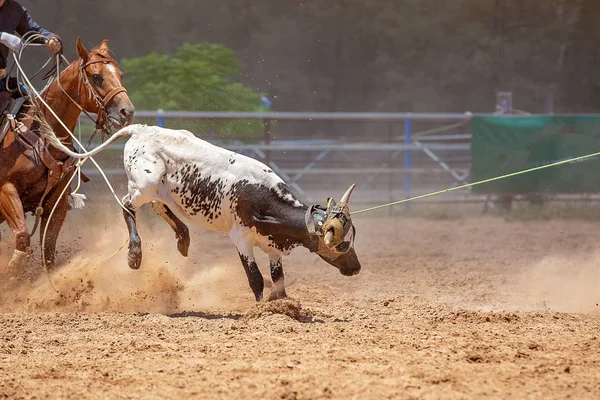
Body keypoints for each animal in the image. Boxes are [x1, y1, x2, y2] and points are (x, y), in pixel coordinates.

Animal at [0, 38, 134, 276]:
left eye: (120, 73)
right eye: (96, 76)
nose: (127, 111)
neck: (43, 137)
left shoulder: (57, 204)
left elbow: (48, 253)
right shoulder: (5, 189)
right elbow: (23, 238)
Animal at [43, 123, 360, 302]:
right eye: (341, 245)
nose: (356, 267)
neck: (261, 197)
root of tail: (140, 129)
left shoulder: (272, 245)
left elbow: (278, 280)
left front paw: (283, 305)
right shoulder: (241, 239)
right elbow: (256, 279)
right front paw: (260, 309)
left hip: (159, 189)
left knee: (159, 205)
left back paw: (183, 238)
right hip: (144, 184)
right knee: (128, 204)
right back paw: (135, 254)